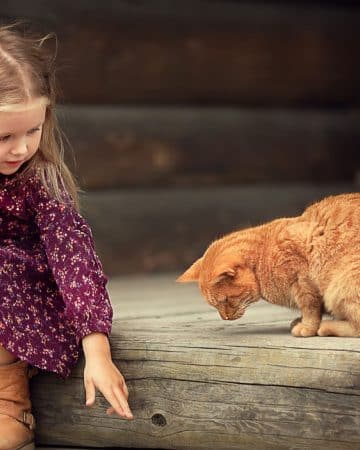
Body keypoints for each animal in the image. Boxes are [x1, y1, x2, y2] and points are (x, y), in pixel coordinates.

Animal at [177, 193, 360, 338]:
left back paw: (327, 327)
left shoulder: (303, 284)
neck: (262, 256)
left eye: (226, 300)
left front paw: (307, 327)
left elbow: (310, 310)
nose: (225, 318)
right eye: (214, 305)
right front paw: (300, 321)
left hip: (342, 284)